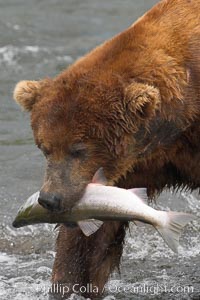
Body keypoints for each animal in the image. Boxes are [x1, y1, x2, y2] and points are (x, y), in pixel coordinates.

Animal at [13, 0, 199, 298]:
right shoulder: (134, 164)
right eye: (45, 148)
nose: (50, 199)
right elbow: (90, 240)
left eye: (78, 149)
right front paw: (70, 286)